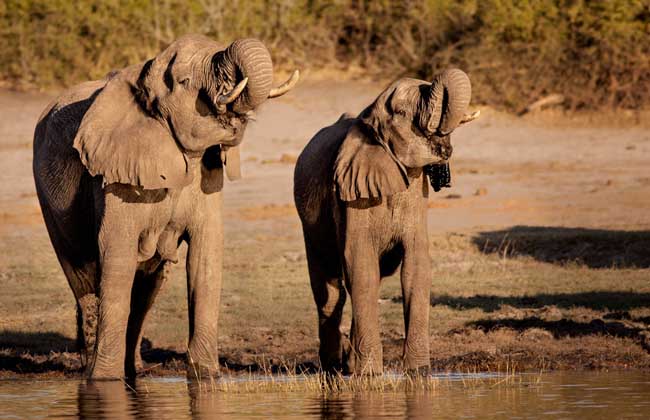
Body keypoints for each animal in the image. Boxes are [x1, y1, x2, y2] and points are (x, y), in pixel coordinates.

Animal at [33, 34, 298, 378]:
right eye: (184, 81)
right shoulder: (114, 176)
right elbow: (116, 255)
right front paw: (105, 381)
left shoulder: (206, 180)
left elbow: (205, 256)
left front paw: (206, 376)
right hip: (49, 201)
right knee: (84, 277)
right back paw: (91, 372)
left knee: (147, 288)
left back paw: (135, 370)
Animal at [294, 69, 476, 374]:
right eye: (402, 111)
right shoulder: (351, 196)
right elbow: (360, 264)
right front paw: (369, 376)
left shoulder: (416, 194)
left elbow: (415, 267)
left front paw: (418, 374)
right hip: (310, 224)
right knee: (331, 293)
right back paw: (333, 368)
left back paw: (348, 364)